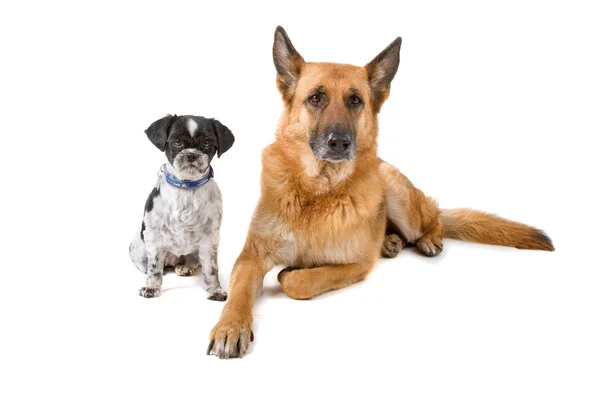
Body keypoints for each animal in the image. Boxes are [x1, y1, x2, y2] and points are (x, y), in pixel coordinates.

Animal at [129, 114, 234, 298]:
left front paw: (215, 289)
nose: (191, 155)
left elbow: (211, 268)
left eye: (207, 143)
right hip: (139, 249)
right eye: (176, 141)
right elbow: (154, 268)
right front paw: (152, 287)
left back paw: (184, 267)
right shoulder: (154, 237)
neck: (187, 188)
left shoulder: (210, 239)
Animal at [206, 26, 552, 358]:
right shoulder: (250, 259)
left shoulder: (357, 265)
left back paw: (427, 239)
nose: (339, 142)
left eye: (355, 100)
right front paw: (230, 327)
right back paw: (390, 241)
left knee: (432, 216)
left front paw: (292, 272)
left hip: (396, 190)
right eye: (315, 98)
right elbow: (238, 296)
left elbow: (297, 281)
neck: (319, 191)